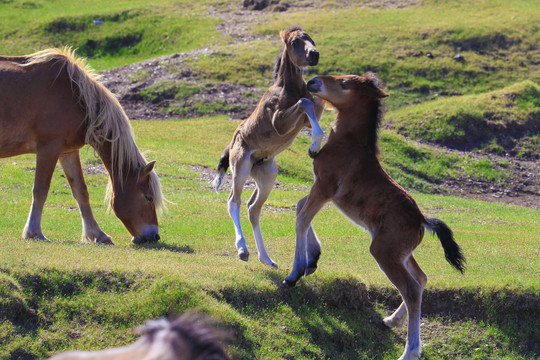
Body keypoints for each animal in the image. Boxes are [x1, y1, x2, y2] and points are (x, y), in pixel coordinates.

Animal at [0, 47, 165, 245]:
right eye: (148, 197)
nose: (154, 236)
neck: (75, 95)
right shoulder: (49, 148)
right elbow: (40, 190)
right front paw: (34, 232)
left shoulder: (67, 151)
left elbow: (81, 192)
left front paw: (97, 234)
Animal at [284, 73, 466, 360]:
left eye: (344, 84)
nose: (312, 81)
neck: (347, 144)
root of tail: (422, 219)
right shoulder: (321, 191)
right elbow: (301, 207)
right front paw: (312, 259)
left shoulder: (325, 187)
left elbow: (301, 217)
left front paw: (295, 273)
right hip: (401, 253)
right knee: (421, 278)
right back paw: (392, 320)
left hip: (384, 252)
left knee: (412, 289)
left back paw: (410, 351)